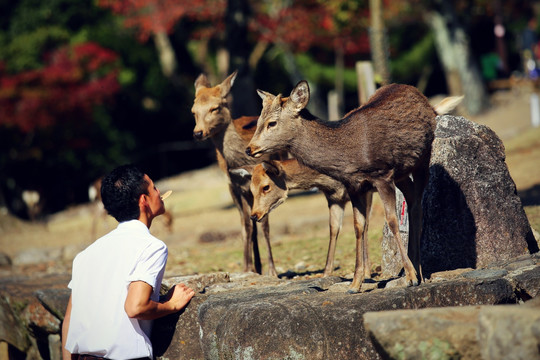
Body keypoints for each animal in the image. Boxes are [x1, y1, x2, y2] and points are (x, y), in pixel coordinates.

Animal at [191, 71, 284, 276]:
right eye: (193, 111)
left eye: (215, 108)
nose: (198, 133)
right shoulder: (236, 187)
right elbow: (246, 226)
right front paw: (246, 267)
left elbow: (264, 224)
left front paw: (272, 271)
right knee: (248, 223)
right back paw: (255, 267)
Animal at [229, 159, 358, 278]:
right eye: (251, 189)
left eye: (266, 187)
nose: (254, 215)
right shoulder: (335, 199)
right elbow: (334, 229)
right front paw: (326, 274)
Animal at [247, 81, 462, 292]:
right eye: (258, 121)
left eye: (272, 123)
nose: (249, 148)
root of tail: (429, 104)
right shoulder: (354, 186)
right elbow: (358, 226)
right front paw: (355, 284)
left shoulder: (382, 175)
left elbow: (391, 220)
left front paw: (410, 277)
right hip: (401, 173)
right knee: (411, 200)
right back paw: (416, 268)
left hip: (423, 158)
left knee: (417, 205)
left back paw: (418, 272)